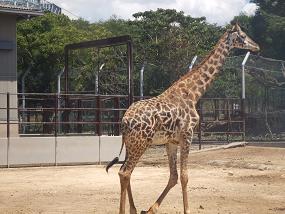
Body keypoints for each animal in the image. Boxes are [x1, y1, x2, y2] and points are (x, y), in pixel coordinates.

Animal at [105, 23, 258, 214]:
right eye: (243, 36)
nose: (257, 47)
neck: (193, 93)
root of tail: (124, 121)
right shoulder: (188, 135)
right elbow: (185, 176)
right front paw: (187, 210)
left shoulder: (171, 141)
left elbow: (174, 176)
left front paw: (151, 209)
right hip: (140, 143)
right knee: (124, 172)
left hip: (132, 144)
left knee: (125, 171)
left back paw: (134, 209)